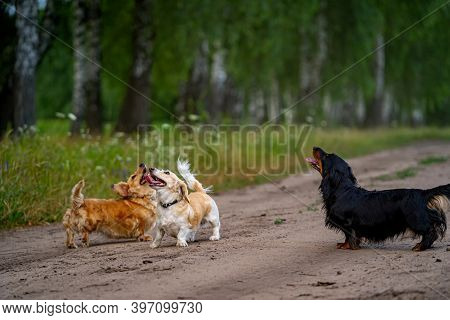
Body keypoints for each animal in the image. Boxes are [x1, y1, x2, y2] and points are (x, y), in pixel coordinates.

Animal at [304, 147, 448, 250]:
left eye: (326, 156)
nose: (315, 147)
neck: (342, 190)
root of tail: (422, 193)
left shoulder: (347, 224)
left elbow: (349, 235)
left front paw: (348, 246)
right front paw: (345, 244)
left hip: (415, 220)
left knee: (431, 232)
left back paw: (420, 246)